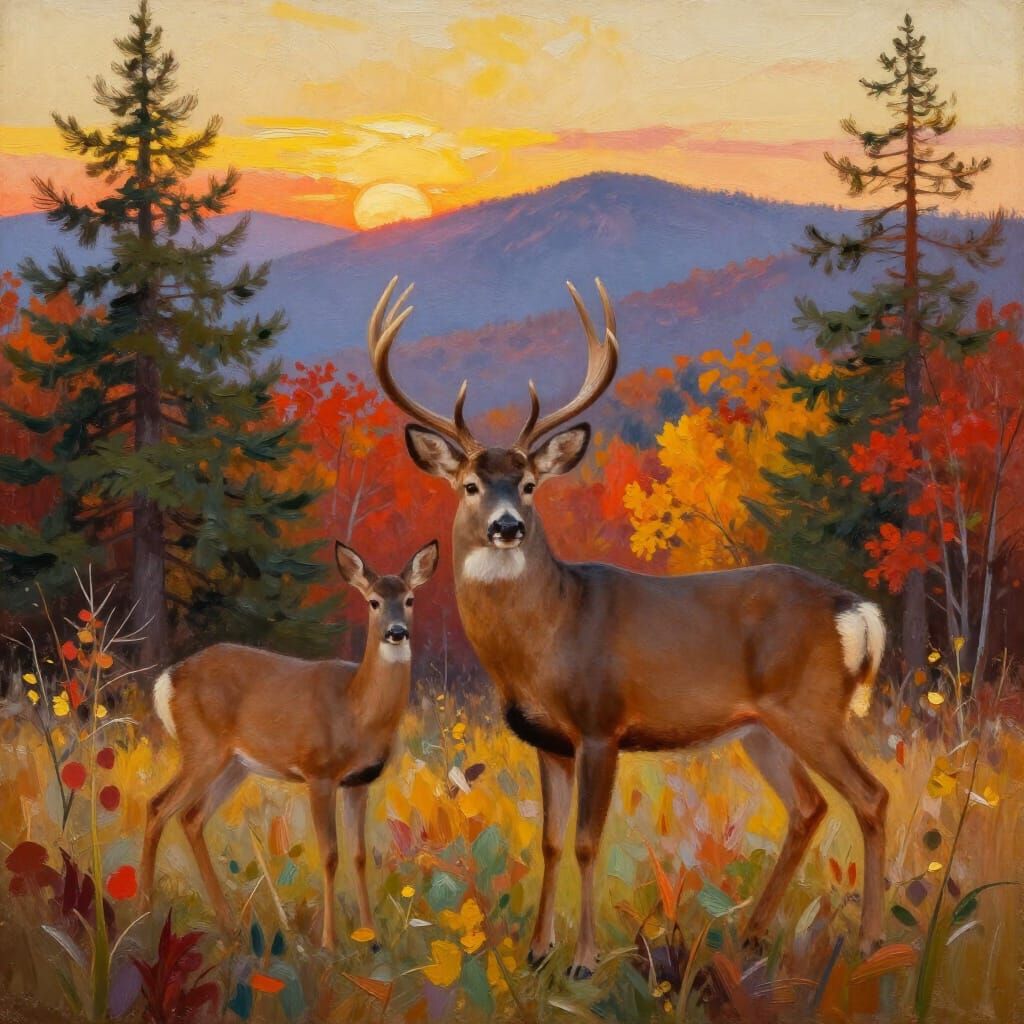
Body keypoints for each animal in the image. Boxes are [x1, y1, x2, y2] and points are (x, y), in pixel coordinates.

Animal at [140, 538, 439, 950]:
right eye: (373, 602)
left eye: (410, 599)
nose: (396, 632)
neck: (356, 709)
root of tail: (166, 680)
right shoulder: (319, 773)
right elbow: (330, 855)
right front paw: (329, 942)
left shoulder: (360, 782)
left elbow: (359, 854)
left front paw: (370, 937)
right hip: (202, 747)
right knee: (158, 806)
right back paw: (145, 910)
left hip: (235, 764)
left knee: (191, 817)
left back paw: (228, 925)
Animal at [368, 276, 888, 977]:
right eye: (471, 484)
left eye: (529, 484)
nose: (508, 526)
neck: (544, 639)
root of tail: (854, 610)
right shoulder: (547, 741)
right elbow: (550, 841)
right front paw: (538, 951)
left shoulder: (600, 725)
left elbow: (588, 841)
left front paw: (584, 960)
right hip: (762, 727)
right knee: (809, 808)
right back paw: (752, 936)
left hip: (811, 708)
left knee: (871, 797)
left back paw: (869, 941)